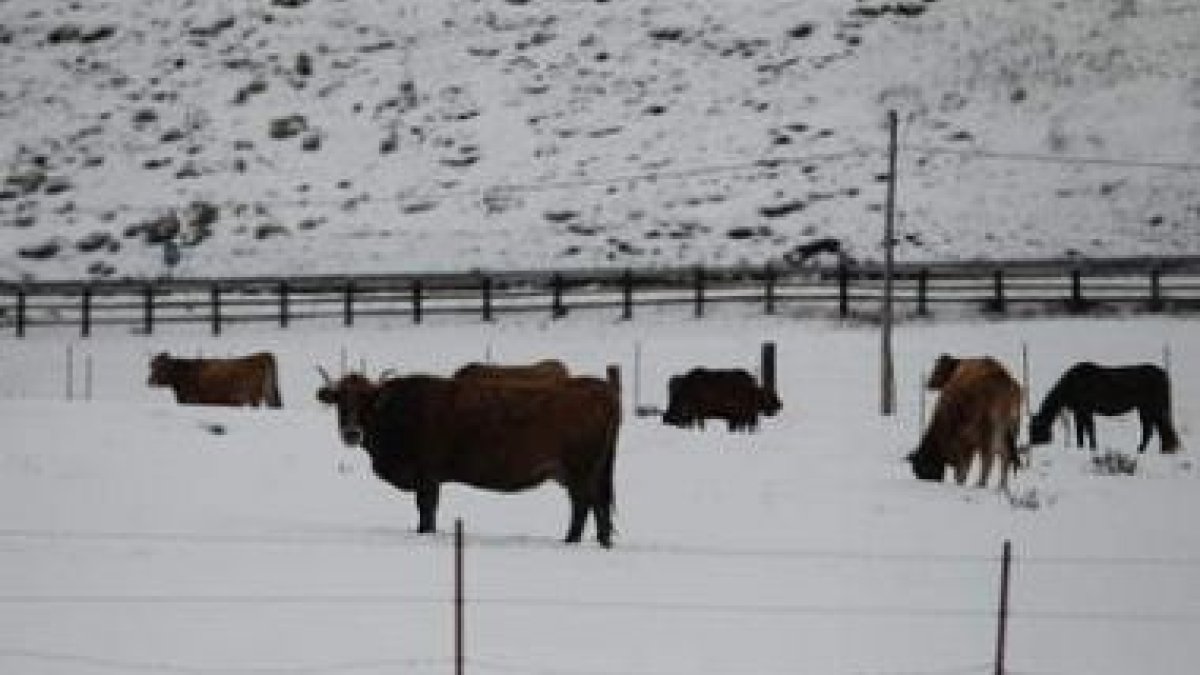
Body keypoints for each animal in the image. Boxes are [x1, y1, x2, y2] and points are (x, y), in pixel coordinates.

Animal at [147, 348, 280, 408]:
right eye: (152, 366)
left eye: (162, 367)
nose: (149, 380)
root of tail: (259, 355)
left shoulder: (192, 400)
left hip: (253, 397)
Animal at [314, 367, 624, 547]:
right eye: (340, 400)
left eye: (367, 400)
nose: (352, 432)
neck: (399, 411)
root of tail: (602, 388)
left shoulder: (427, 475)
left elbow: (426, 510)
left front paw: (425, 533)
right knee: (595, 505)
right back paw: (598, 541)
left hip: (581, 469)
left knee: (585, 504)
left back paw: (572, 541)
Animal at [907, 353, 1022, 487]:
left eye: (923, 467)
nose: (928, 384)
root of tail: (1008, 383)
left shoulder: (964, 444)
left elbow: (962, 470)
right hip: (1009, 432)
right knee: (1005, 456)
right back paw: (1001, 486)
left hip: (988, 434)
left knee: (989, 458)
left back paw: (980, 484)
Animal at [1027, 362, 1176, 451]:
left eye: (1035, 430)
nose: (1030, 444)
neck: (1072, 384)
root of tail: (1163, 374)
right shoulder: (1079, 411)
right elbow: (1080, 430)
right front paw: (1081, 447)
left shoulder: (1085, 410)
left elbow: (1089, 429)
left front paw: (1093, 448)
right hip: (1145, 408)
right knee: (1154, 429)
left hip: (1151, 408)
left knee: (1154, 429)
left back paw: (1143, 450)